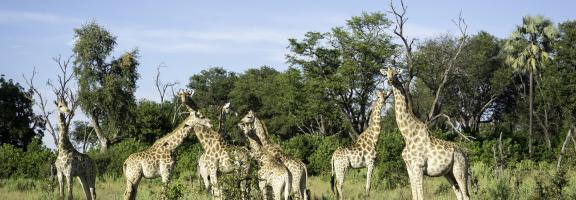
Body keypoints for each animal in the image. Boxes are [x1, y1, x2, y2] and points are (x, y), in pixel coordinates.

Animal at [380, 68, 470, 199]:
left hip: (460, 169)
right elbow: (414, 196)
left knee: (466, 195)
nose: (390, 80)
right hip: (448, 172)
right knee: (459, 193)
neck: (408, 136)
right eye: (386, 73)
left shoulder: (419, 167)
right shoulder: (409, 168)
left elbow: (421, 196)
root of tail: (464, 152)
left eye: (396, 73)